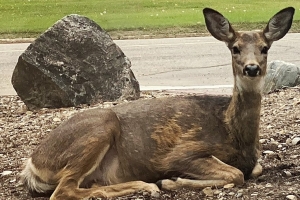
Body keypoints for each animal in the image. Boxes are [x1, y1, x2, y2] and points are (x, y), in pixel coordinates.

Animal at [21, 7, 296, 199]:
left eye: (265, 47)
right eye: (235, 48)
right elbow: (236, 174)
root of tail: (32, 164)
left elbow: (253, 169)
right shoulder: (181, 152)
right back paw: (147, 185)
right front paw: (171, 181)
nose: (252, 68)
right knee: (64, 190)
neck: (233, 132)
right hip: (99, 127)